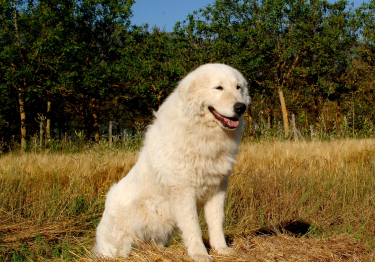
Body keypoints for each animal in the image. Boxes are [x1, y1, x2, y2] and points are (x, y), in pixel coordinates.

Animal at [93, 64, 251, 262]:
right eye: (219, 88)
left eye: (238, 87)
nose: (241, 107)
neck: (201, 133)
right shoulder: (183, 192)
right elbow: (193, 226)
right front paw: (200, 254)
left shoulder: (217, 188)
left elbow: (217, 222)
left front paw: (222, 249)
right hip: (121, 242)